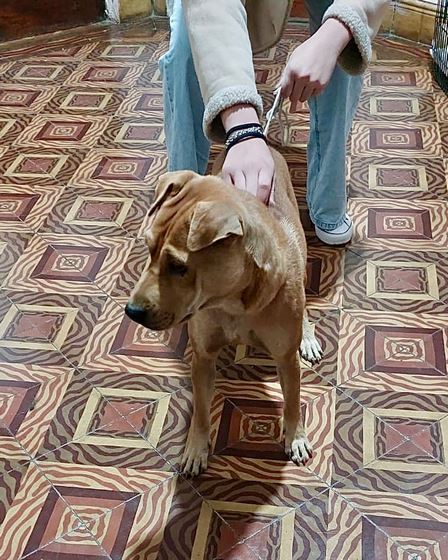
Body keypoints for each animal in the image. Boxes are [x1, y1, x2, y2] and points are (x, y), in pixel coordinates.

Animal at [126, 147, 323, 476]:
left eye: (179, 266)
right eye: (148, 248)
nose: (132, 311)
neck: (230, 301)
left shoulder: (286, 359)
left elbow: (293, 400)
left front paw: (295, 436)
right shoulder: (203, 357)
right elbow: (202, 411)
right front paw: (195, 448)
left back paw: (308, 337)